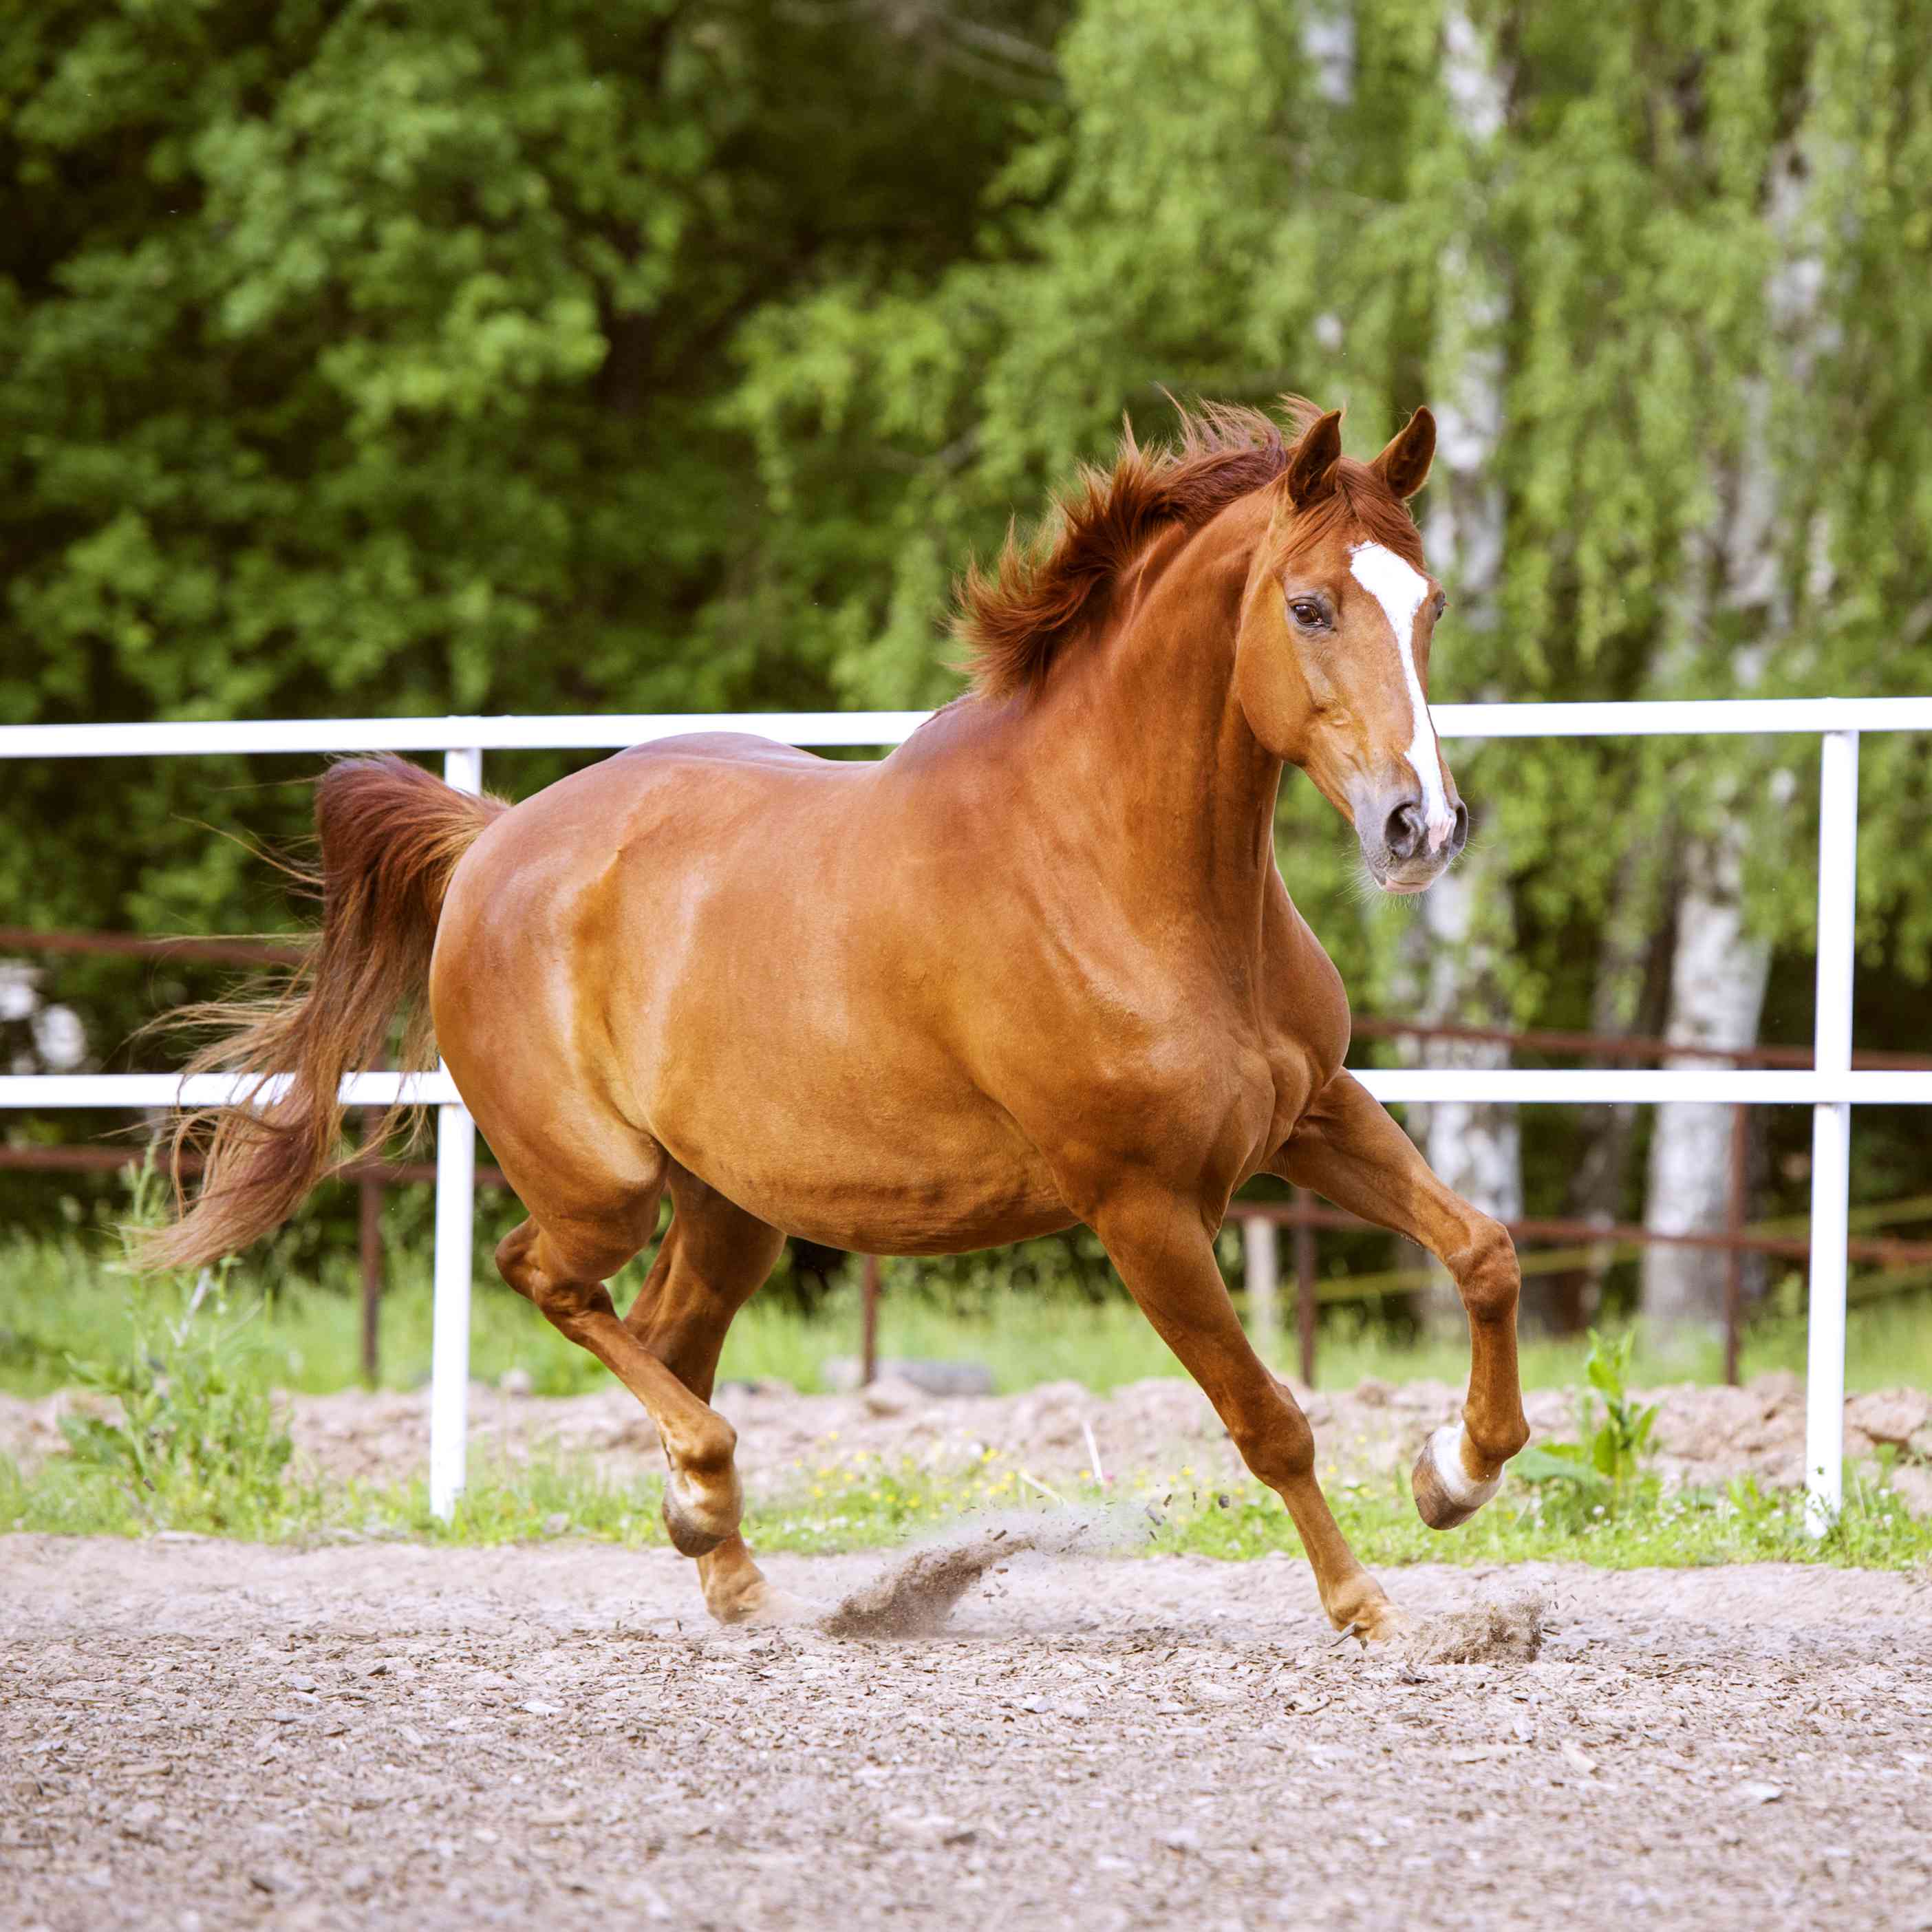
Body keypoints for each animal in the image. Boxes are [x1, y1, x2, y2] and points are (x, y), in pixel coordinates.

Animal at [147, 400, 1522, 1638]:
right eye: (1310, 607)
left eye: (1433, 606)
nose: (1421, 827)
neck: (1129, 880)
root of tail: (493, 841)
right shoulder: (1140, 1204)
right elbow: (1268, 1416)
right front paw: (1367, 1605)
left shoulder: (1313, 1114)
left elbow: (1483, 1249)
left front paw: (1451, 1475)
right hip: (603, 1185)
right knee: (546, 1278)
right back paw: (710, 1490)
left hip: (731, 1205)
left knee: (666, 1329)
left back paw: (726, 1561)